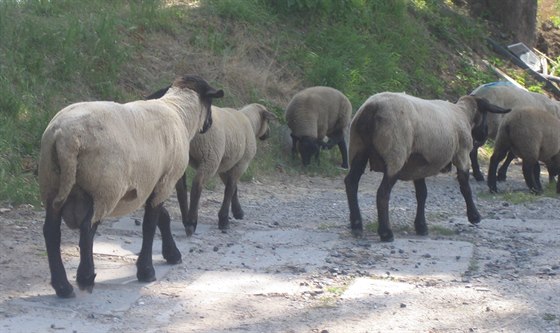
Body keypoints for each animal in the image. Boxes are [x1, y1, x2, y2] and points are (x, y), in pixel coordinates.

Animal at [36, 74, 225, 296]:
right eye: (210, 102)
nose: (210, 123)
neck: (179, 111)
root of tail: (65, 138)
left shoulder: (150, 183)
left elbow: (163, 218)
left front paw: (172, 254)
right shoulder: (166, 181)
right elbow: (150, 225)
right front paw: (146, 271)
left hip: (51, 183)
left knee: (51, 232)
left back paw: (63, 287)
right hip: (104, 188)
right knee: (87, 230)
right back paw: (85, 278)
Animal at [182, 102, 276, 235]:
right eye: (268, 121)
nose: (268, 133)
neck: (250, 122)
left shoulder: (226, 165)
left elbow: (233, 188)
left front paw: (238, 212)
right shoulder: (242, 163)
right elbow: (230, 189)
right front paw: (224, 220)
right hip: (210, 156)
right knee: (197, 186)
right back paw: (191, 223)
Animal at [344, 92, 510, 240]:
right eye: (486, 114)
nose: (484, 135)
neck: (463, 114)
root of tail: (372, 108)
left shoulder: (419, 165)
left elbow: (422, 194)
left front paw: (421, 226)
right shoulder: (462, 154)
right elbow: (465, 188)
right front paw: (474, 216)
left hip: (358, 148)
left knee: (351, 183)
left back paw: (357, 225)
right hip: (395, 153)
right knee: (382, 192)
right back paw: (386, 233)